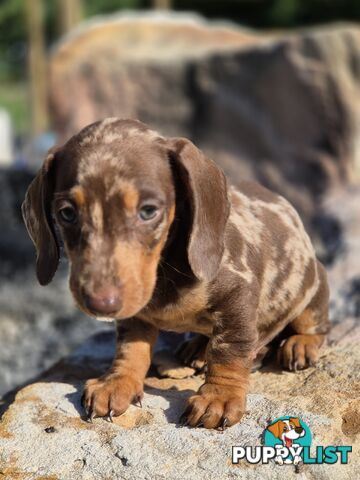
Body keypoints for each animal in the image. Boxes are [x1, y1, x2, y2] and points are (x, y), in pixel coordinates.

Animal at [21, 118, 330, 430]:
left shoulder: (238, 295)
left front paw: (219, 396)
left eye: (148, 211)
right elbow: (130, 349)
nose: (100, 304)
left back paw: (299, 344)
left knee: (314, 325)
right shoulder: (135, 313)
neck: (164, 269)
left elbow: (229, 350)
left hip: (312, 289)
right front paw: (117, 382)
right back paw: (198, 348)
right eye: (67, 213)